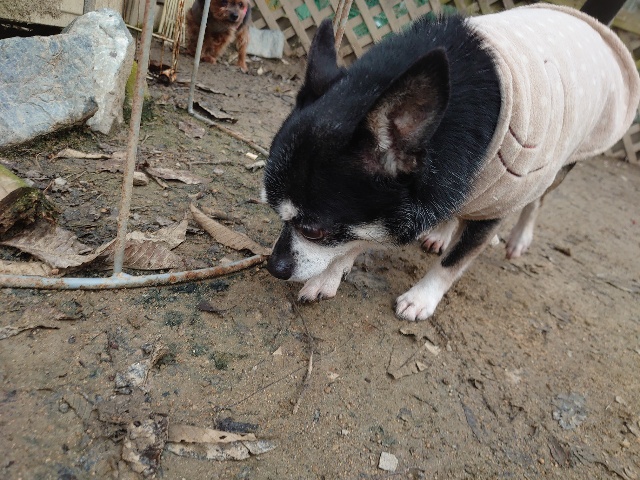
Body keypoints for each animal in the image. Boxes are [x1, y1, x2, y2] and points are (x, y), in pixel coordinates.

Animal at [262, 5, 640, 321]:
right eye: (273, 211)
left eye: (314, 231)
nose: (273, 266)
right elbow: (367, 237)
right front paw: (330, 274)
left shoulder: (494, 205)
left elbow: (453, 262)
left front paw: (422, 298)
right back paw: (443, 231)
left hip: (559, 162)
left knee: (536, 200)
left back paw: (518, 238)